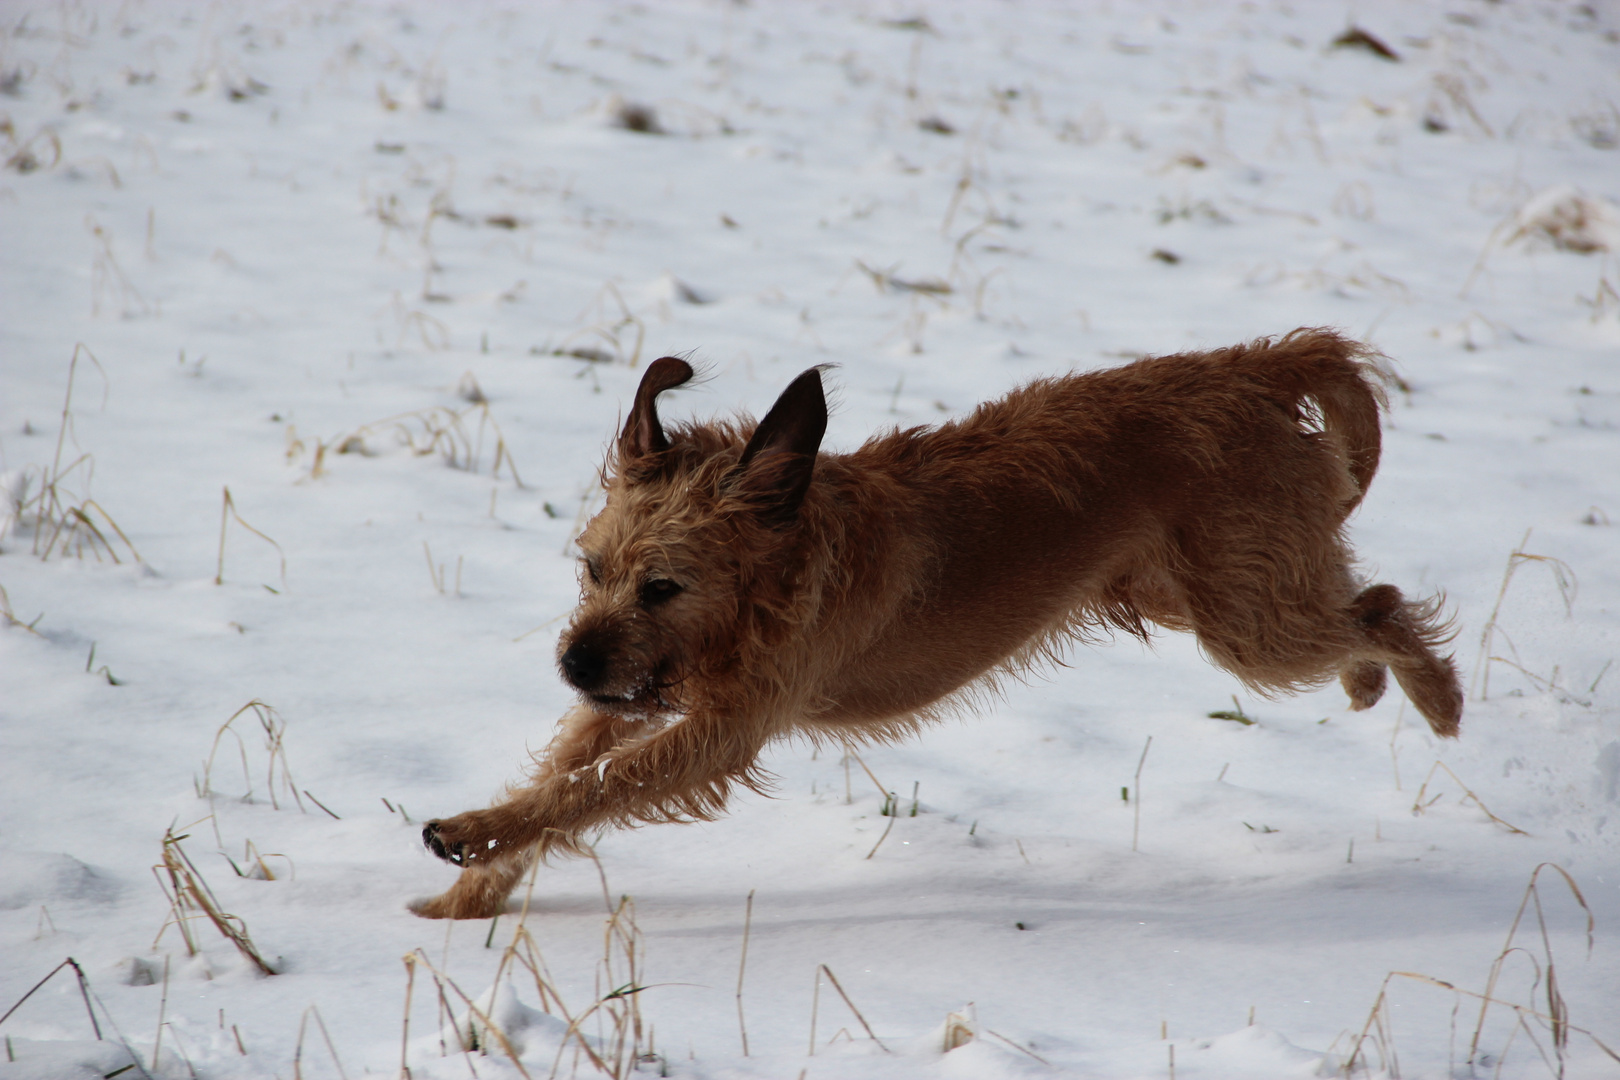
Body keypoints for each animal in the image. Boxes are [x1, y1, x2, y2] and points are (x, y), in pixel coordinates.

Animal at [411, 325, 1464, 919]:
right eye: (592, 571)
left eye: (664, 586)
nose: (574, 665)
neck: (775, 572)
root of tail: (1258, 366)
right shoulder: (636, 697)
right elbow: (565, 773)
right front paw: (466, 901)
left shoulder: (721, 729)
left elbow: (587, 790)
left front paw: (471, 834)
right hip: (1200, 592)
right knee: (1359, 600)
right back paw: (1373, 682)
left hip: (1246, 624)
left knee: (1380, 608)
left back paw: (1435, 696)